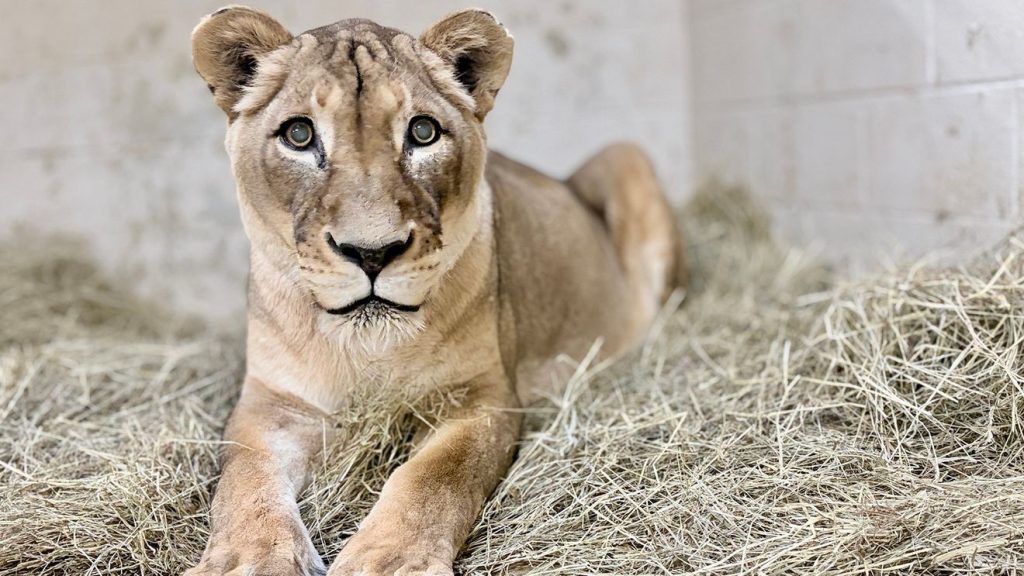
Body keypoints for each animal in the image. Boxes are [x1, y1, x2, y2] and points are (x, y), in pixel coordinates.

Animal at [186, 6, 685, 575]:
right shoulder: (271, 402)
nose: (372, 252)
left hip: (626, 157)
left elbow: (436, 474)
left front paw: (388, 560)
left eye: (422, 132)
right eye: (298, 135)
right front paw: (249, 560)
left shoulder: (484, 397)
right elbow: (244, 479)